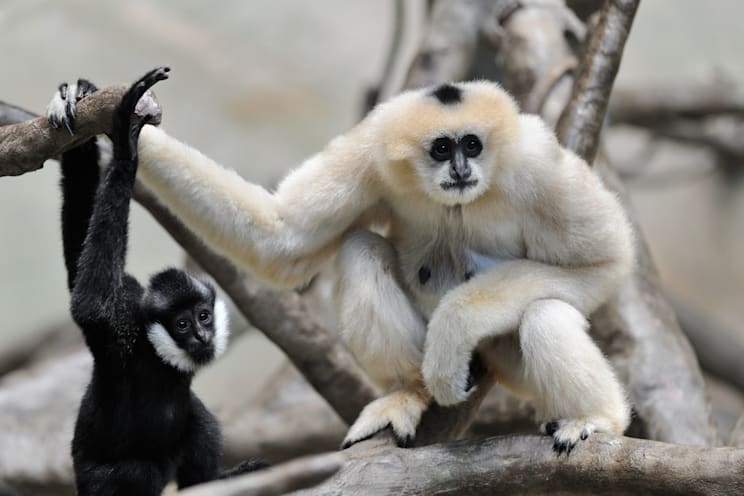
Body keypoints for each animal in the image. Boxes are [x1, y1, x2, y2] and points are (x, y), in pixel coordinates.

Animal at [49, 68, 266, 495]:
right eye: (181, 324)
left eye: (203, 315)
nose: (201, 335)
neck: (154, 353)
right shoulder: (117, 335)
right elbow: (89, 302)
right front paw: (124, 147)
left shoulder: (130, 296)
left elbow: (79, 246)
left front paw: (82, 95)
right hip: (98, 481)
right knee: (141, 470)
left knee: (196, 417)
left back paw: (210, 480)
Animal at [126, 80, 634, 453]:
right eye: (441, 149)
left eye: (472, 144)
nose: (462, 167)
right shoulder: (372, 148)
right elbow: (282, 237)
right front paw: (131, 134)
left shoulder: (537, 164)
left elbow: (605, 262)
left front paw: (453, 330)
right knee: (359, 249)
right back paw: (409, 391)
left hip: (505, 361)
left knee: (545, 312)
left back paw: (595, 418)